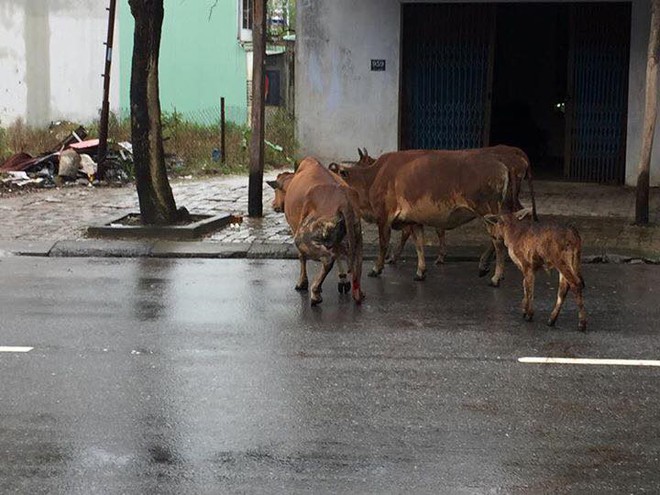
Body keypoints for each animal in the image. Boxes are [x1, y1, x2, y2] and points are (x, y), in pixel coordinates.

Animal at [266, 159, 366, 306]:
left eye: (276, 191)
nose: (273, 205)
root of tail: (344, 201)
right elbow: (338, 254)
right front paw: (343, 279)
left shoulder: (295, 229)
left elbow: (302, 257)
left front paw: (302, 283)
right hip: (356, 234)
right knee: (355, 262)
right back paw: (358, 293)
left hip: (303, 237)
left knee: (327, 259)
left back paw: (315, 292)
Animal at [330, 149, 510, 284]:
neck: (372, 177)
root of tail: (501, 166)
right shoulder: (414, 221)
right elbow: (419, 245)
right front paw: (420, 271)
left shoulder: (384, 217)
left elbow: (383, 245)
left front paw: (376, 268)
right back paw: (486, 266)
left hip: (487, 211)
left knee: (498, 242)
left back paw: (495, 276)